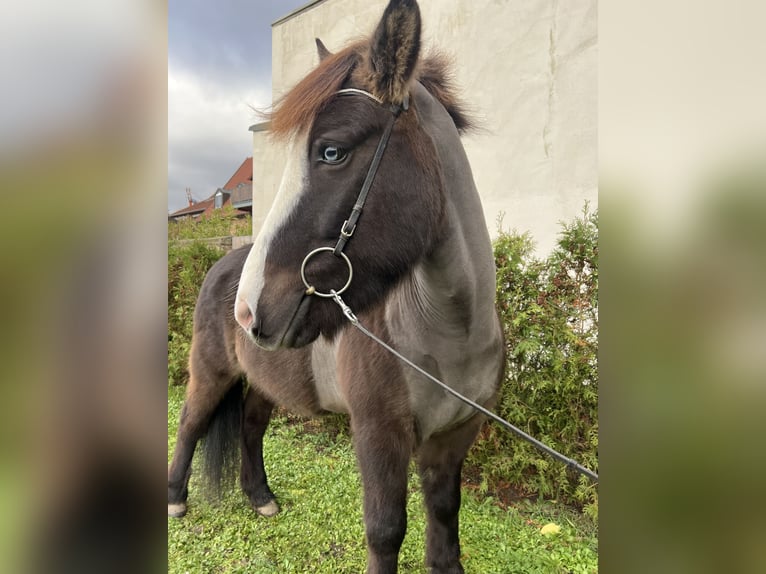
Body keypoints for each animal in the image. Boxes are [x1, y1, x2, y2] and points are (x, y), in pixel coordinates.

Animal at [169, 2, 508, 572]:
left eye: (331, 152)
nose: (249, 311)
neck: (449, 333)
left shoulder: (453, 439)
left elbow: (445, 526)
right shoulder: (379, 434)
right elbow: (386, 531)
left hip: (264, 381)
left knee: (251, 426)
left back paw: (260, 498)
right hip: (211, 372)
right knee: (191, 421)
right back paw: (176, 499)